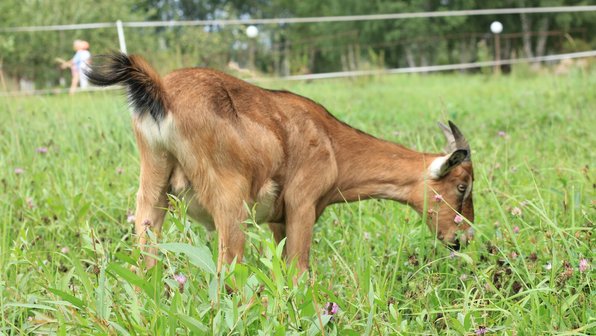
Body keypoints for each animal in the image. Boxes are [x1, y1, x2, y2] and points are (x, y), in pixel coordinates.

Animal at [86, 52, 474, 272]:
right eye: (461, 185)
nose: (463, 237)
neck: (333, 143)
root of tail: (162, 93)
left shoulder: (277, 220)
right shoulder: (302, 204)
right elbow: (299, 268)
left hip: (152, 190)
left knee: (145, 261)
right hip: (230, 200)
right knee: (227, 268)